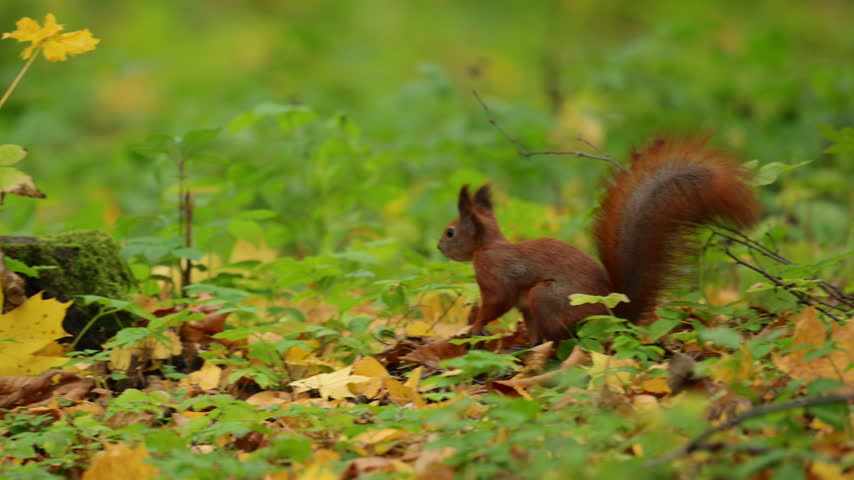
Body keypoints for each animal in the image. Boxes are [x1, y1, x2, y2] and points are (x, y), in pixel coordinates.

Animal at [437, 138, 761, 343]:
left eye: (450, 231)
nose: (439, 247)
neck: (487, 247)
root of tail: (616, 315)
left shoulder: (496, 276)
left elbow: (496, 302)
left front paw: (475, 326)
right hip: (535, 305)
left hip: (546, 297)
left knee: (558, 339)